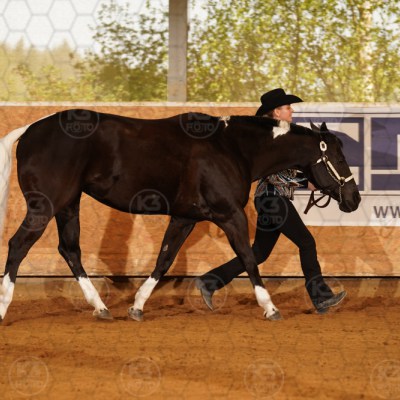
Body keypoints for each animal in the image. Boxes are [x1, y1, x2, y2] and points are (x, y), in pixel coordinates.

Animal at [0, 110, 361, 322]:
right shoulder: (230, 215)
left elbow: (164, 258)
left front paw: (137, 306)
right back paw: (5, 307)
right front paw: (270, 308)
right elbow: (248, 257)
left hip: (68, 204)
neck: (231, 148)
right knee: (18, 245)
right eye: (340, 158)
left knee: (70, 250)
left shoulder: (185, 217)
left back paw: (101, 309)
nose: (354, 199)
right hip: (46, 205)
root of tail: (29, 131)